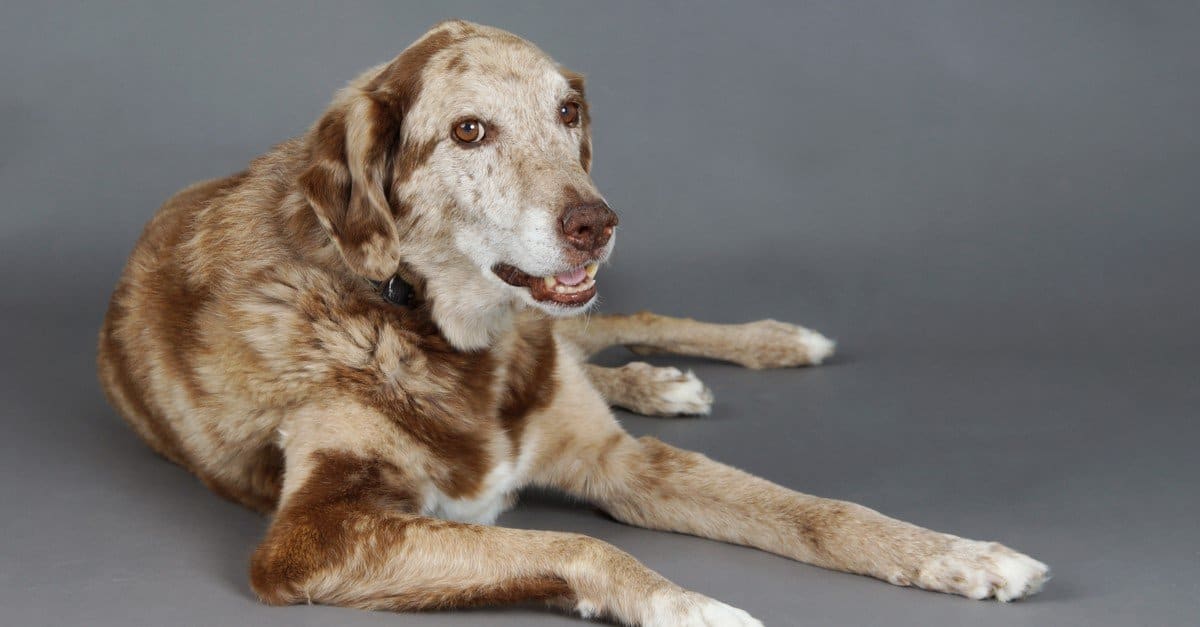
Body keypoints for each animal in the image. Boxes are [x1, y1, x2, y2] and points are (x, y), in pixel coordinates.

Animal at [98, 20, 1046, 624]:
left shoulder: (619, 460)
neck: (449, 335)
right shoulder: (311, 538)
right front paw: (682, 601)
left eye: (567, 112)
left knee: (620, 322)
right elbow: (577, 540)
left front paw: (958, 553)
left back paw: (752, 348)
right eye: (468, 131)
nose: (596, 222)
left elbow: (821, 512)